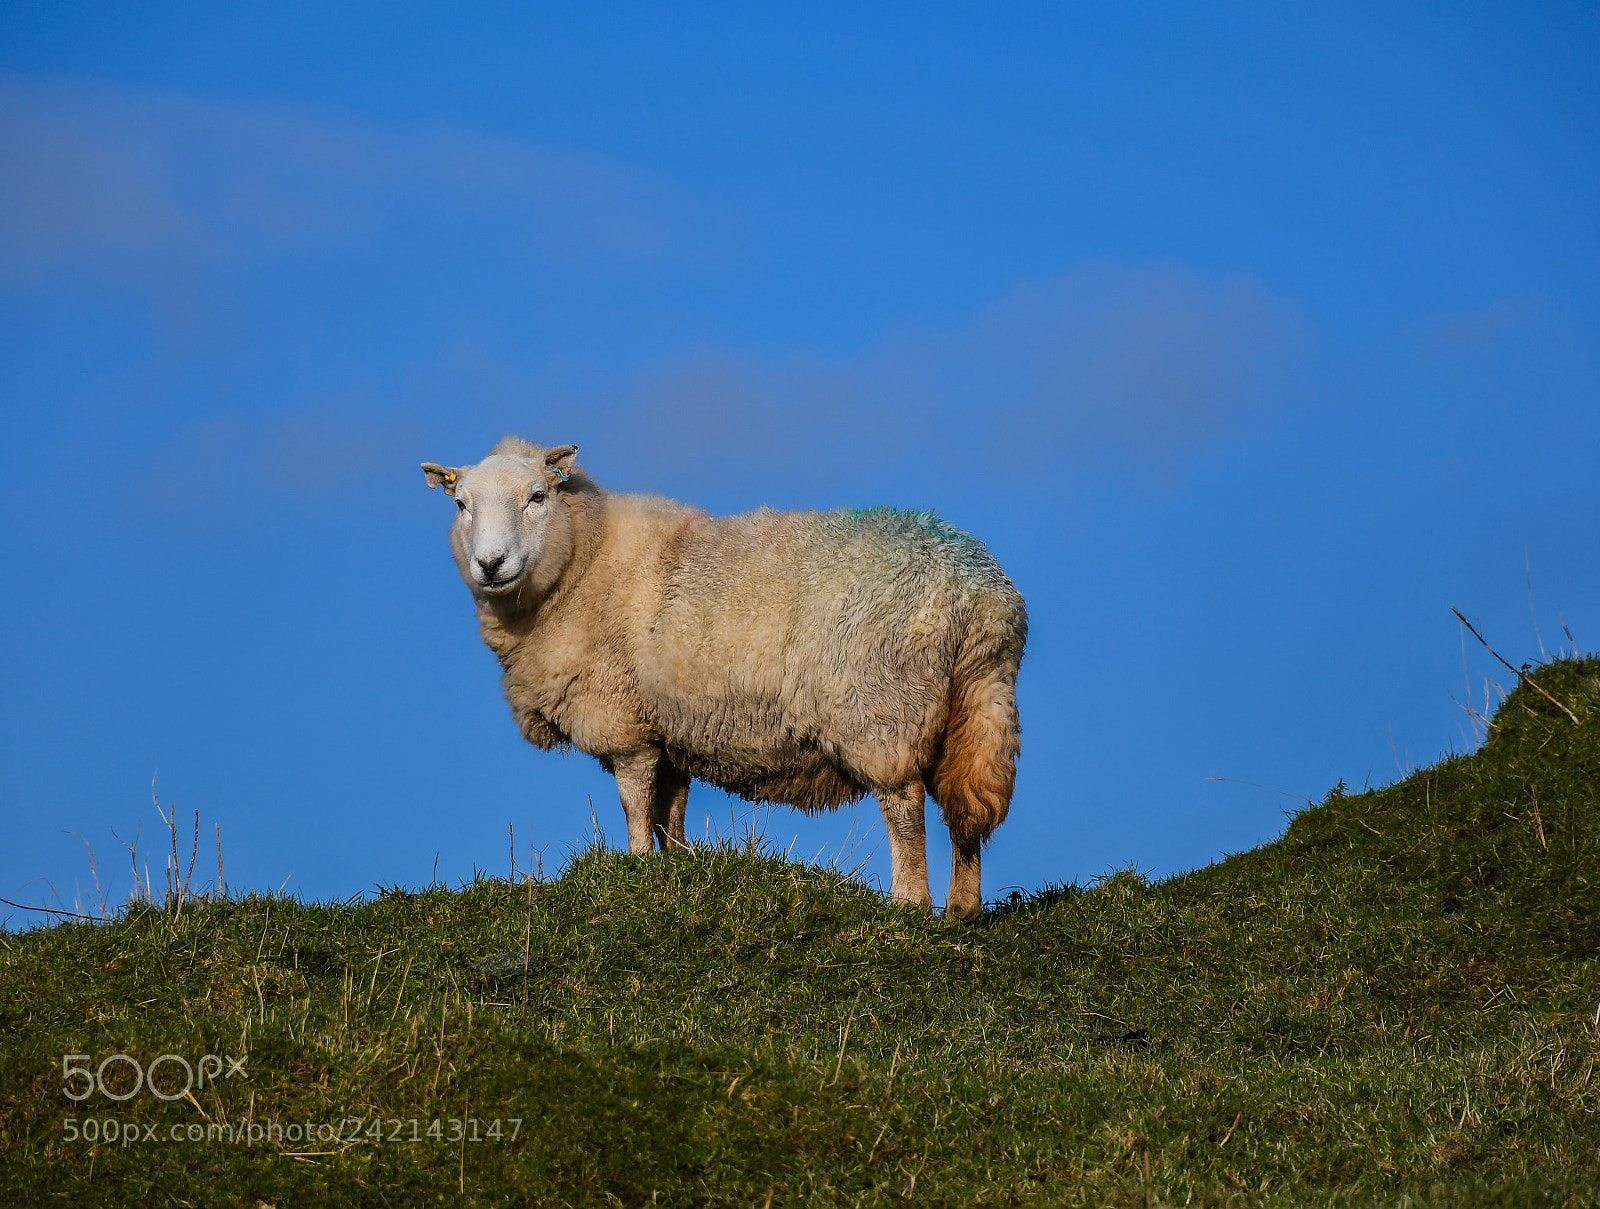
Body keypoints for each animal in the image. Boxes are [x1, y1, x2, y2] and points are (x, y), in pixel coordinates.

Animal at [421, 436, 1026, 920]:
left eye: (537, 497)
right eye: (460, 504)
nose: (490, 564)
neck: (582, 564)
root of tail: (977, 592)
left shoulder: (624, 721)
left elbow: (635, 802)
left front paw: (637, 868)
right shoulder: (670, 726)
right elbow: (672, 808)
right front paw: (676, 867)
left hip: (881, 707)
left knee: (904, 807)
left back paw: (910, 905)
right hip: (974, 707)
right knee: (966, 809)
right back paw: (963, 911)